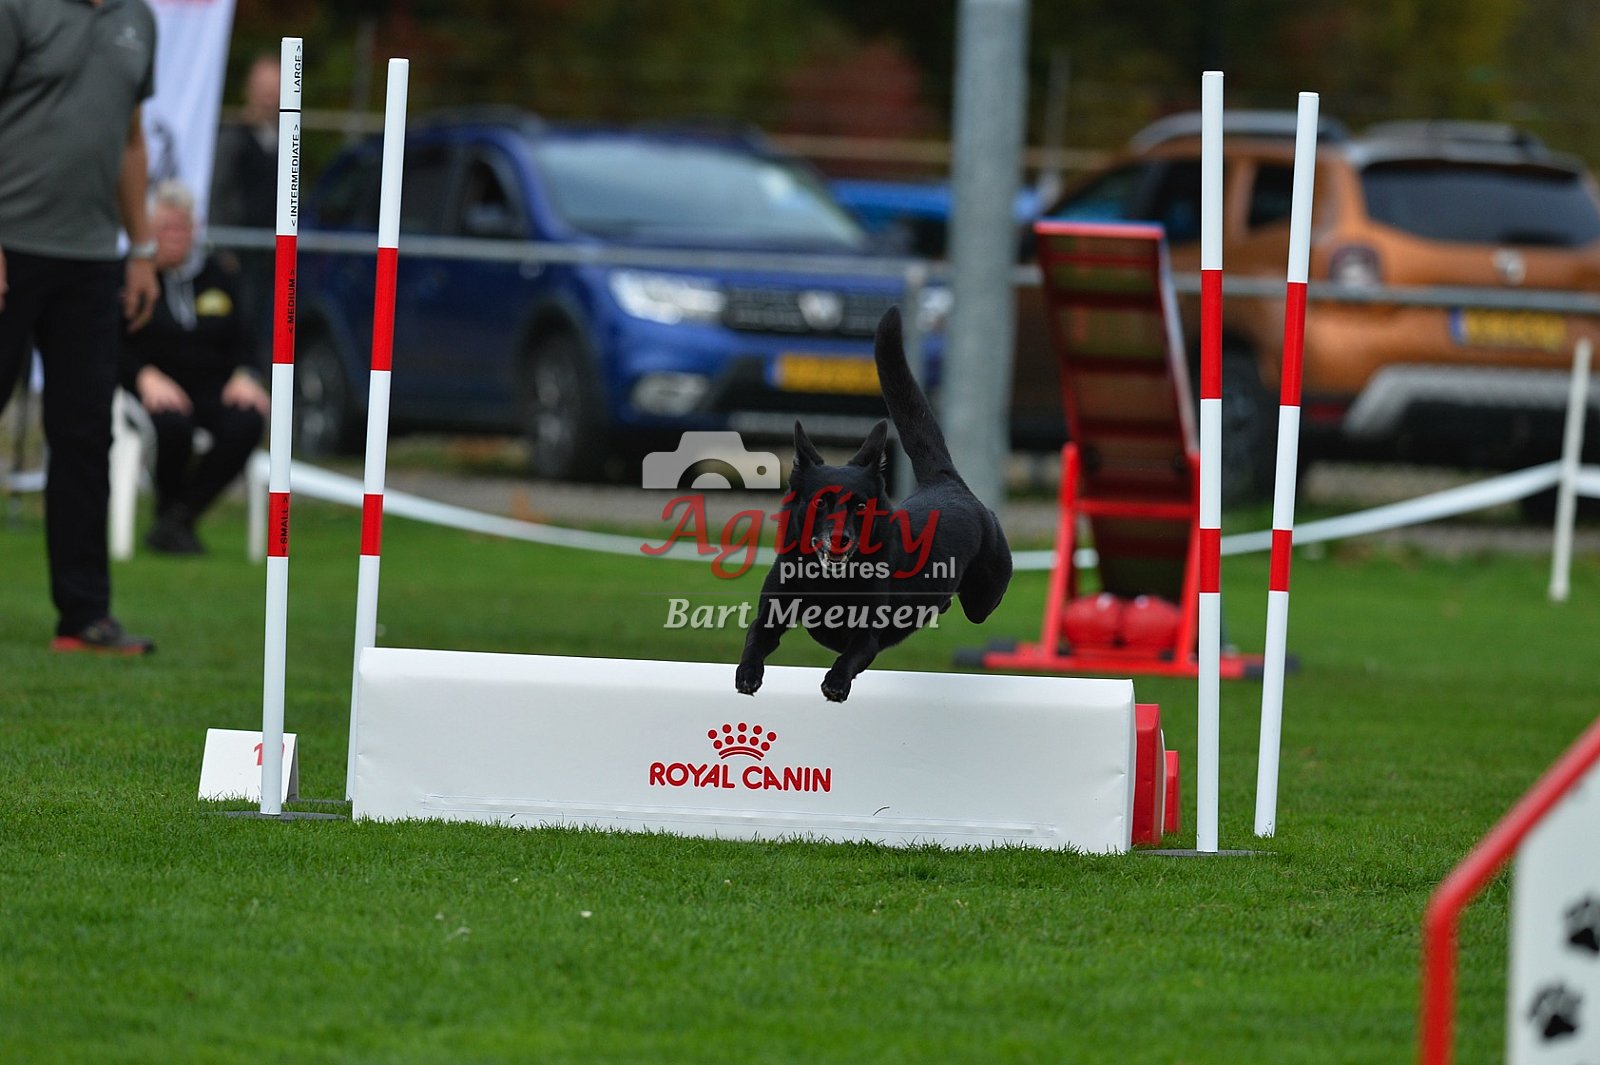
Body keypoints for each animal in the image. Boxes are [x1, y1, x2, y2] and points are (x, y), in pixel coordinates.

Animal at [735, 306, 1012, 702]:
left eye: (862, 507)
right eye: (821, 503)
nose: (840, 539)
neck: (829, 581)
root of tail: (946, 481)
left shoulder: (867, 635)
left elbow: (851, 654)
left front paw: (836, 683)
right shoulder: (771, 614)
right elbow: (755, 638)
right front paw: (747, 674)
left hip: (984, 595)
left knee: (977, 605)